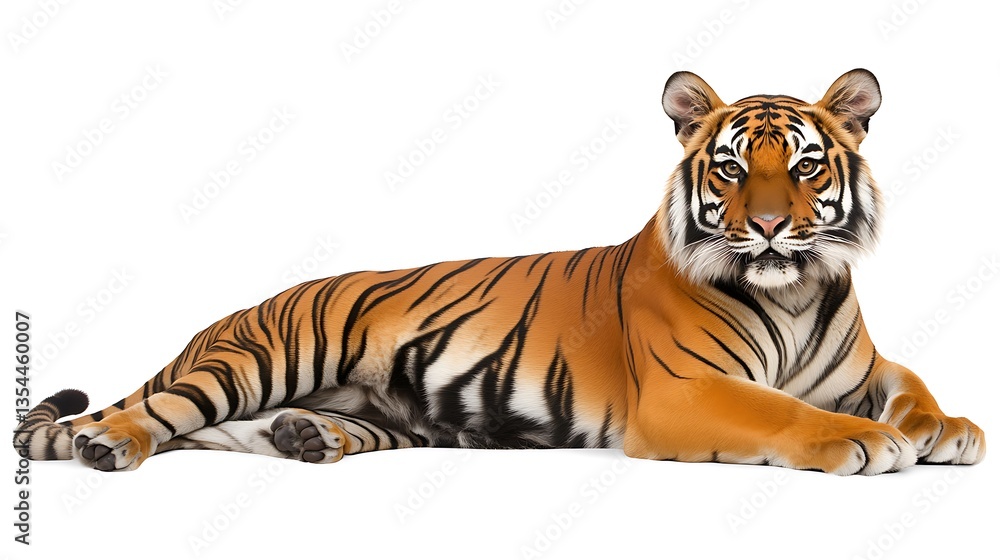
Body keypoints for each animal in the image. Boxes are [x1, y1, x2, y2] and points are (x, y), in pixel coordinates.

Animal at [14, 69, 985, 475]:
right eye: (734, 169)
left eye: (809, 167)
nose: (774, 226)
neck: (794, 289)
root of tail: (225, 318)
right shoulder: (684, 390)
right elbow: (781, 410)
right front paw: (865, 442)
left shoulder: (864, 365)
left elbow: (912, 383)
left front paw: (950, 429)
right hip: (261, 357)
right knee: (157, 415)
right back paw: (110, 445)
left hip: (375, 414)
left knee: (218, 433)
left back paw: (306, 438)